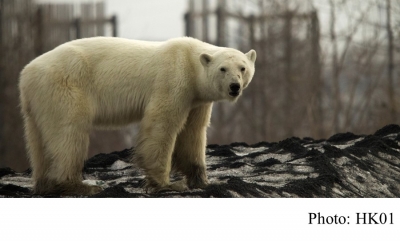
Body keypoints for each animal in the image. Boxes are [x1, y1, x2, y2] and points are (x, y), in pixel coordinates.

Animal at [18, 37, 256, 196]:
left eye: (243, 68)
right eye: (223, 69)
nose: (234, 87)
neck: (189, 60)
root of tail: (26, 73)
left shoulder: (197, 100)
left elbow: (193, 133)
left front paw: (202, 180)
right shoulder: (173, 80)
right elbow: (162, 124)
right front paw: (167, 184)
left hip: (38, 100)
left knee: (38, 140)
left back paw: (45, 185)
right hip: (65, 86)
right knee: (68, 133)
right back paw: (80, 185)